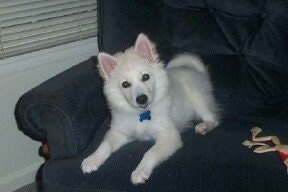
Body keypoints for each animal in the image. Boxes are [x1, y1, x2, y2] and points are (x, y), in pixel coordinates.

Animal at [80, 33, 219, 184]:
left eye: (145, 77)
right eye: (125, 84)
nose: (142, 99)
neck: (141, 114)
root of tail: (199, 72)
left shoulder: (169, 136)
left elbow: (151, 153)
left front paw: (140, 171)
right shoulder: (119, 132)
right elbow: (105, 145)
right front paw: (93, 159)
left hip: (198, 98)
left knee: (213, 118)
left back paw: (204, 126)